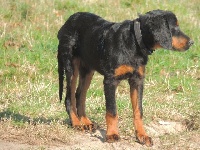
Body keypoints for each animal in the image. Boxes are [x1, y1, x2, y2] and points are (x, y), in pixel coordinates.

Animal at [56, 9, 194, 146]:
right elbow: (112, 110)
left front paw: (142, 135)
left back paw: (85, 121)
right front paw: (112, 134)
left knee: (80, 94)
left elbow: (138, 110)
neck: (134, 42)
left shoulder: (137, 80)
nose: (191, 42)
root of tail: (67, 23)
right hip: (71, 66)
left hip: (87, 69)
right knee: (69, 97)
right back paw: (76, 123)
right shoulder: (110, 81)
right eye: (174, 27)